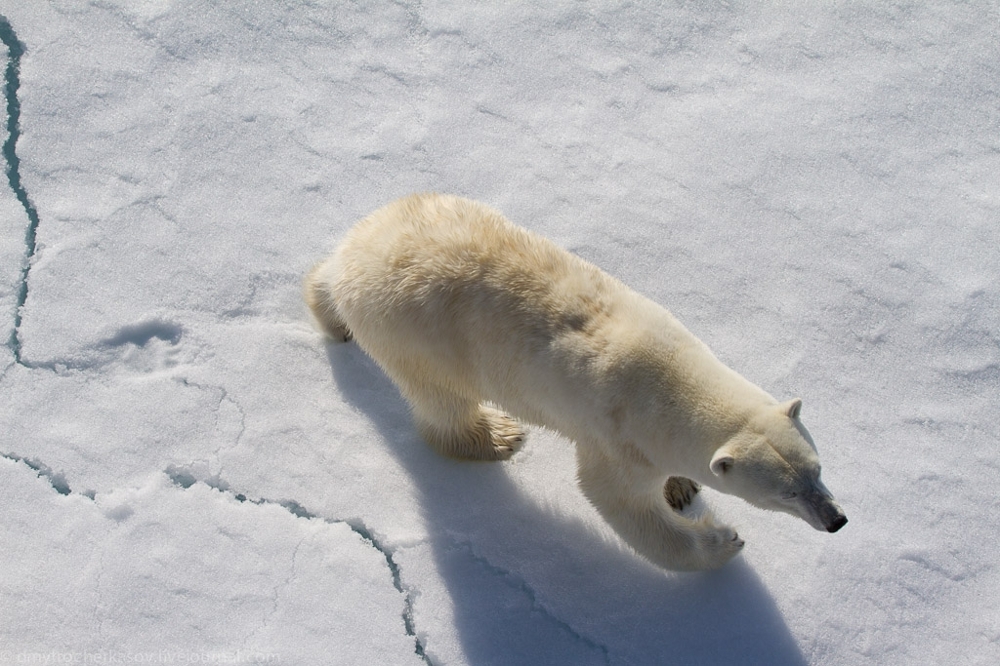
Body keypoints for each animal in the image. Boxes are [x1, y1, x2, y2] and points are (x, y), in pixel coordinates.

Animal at [304, 193, 844, 572]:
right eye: (785, 494)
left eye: (816, 469)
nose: (836, 521)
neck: (665, 374)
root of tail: (353, 263)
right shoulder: (618, 440)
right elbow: (621, 503)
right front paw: (721, 541)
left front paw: (681, 488)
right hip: (417, 335)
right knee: (443, 401)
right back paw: (498, 435)